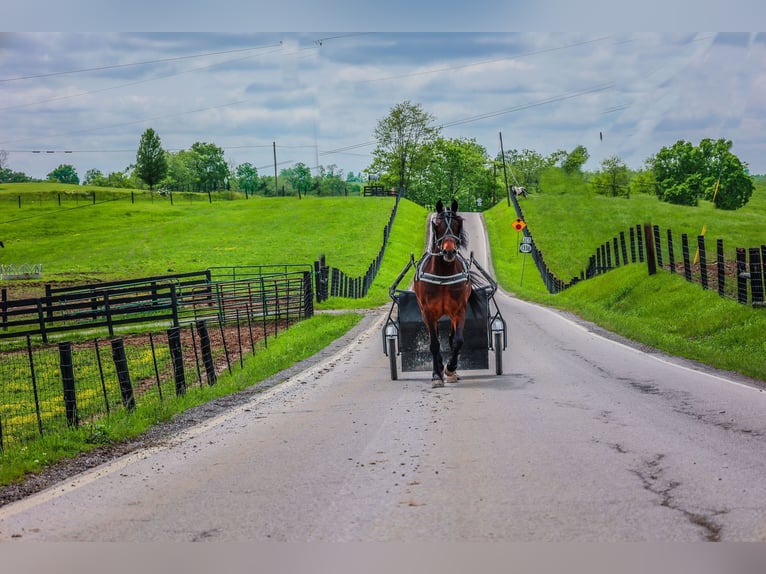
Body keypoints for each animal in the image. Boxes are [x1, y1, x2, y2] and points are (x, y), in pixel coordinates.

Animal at [414, 200, 474, 390]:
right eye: (437, 225)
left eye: (457, 224)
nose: (449, 252)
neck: (443, 275)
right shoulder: (428, 312)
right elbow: (434, 344)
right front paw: (436, 375)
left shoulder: (459, 310)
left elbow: (458, 340)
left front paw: (451, 369)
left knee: (451, 338)